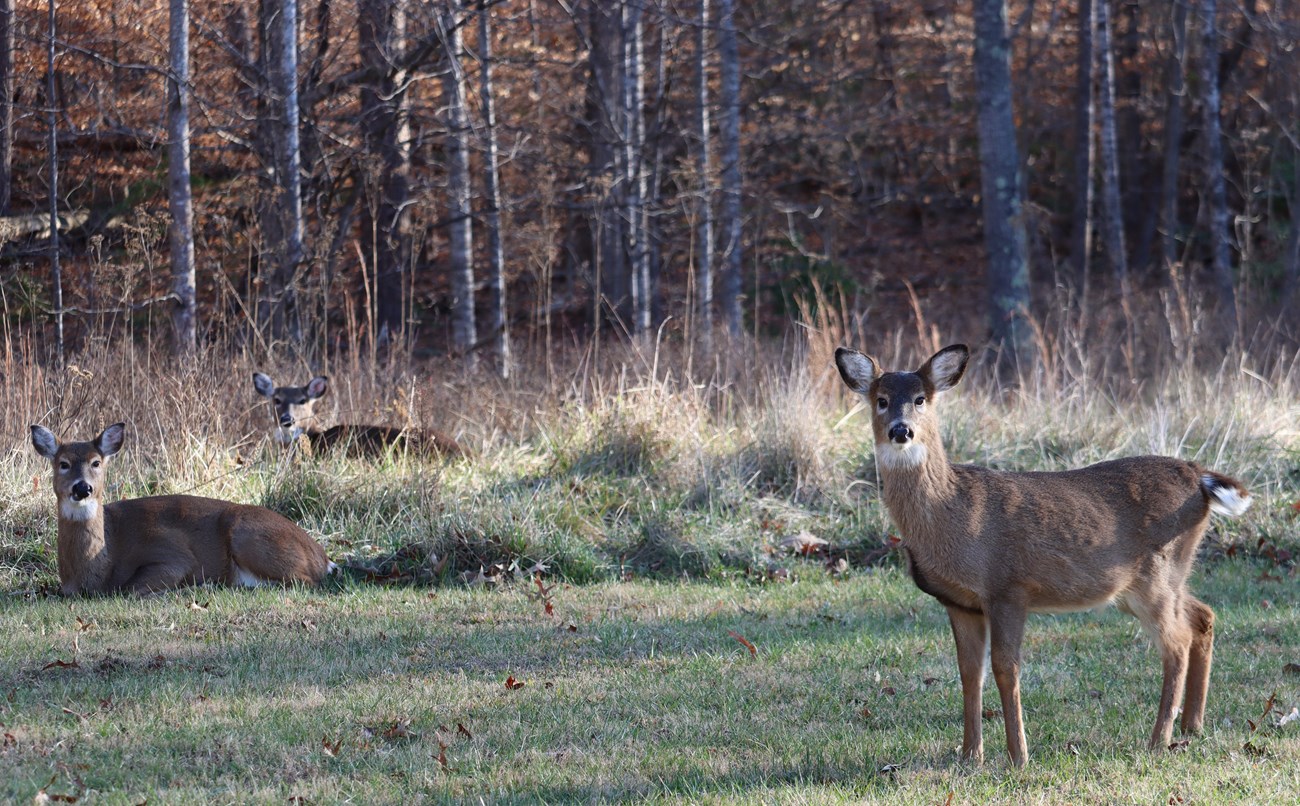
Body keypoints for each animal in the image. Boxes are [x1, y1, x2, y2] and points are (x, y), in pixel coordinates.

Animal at [30, 422, 334, 596]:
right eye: (63, 463)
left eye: (96, 462)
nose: (83, 488)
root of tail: (322, 556)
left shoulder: (172, 554)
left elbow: (130, 590)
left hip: (247, 535)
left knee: (304, 581)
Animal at [834, 344, 1252, 768]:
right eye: (881, 400)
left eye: (921, 399)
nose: (901, 430)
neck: (953, 517)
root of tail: (1199, 475)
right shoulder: (961, 603)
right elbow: (969, 673)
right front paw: (970, 755)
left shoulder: (1007, 588)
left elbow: (1006, 668)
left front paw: (1018, 756)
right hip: (1154, 581)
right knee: (1203, 615)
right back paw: (1191, 725)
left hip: (1156, 576)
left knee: (1177, 642)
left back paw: (1158, 738)